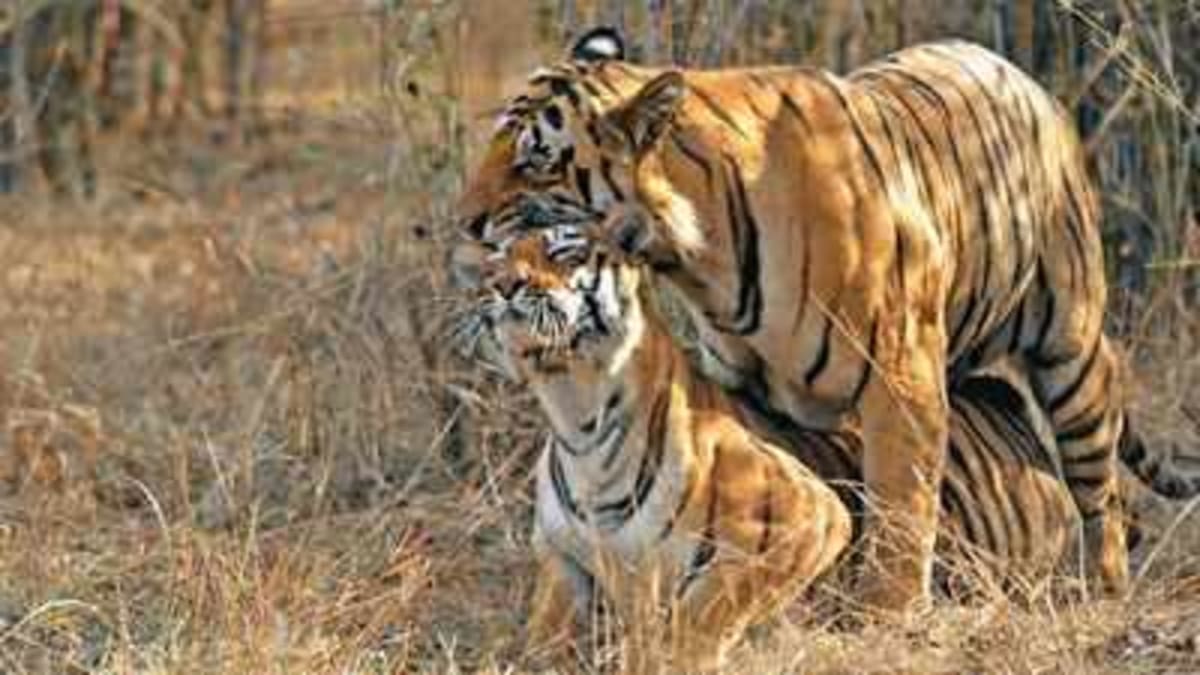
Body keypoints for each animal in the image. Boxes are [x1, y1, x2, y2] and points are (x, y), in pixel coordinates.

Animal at [448, 27, 1200, 612]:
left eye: (535, 162)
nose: (466, 222)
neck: (695, 253)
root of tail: (1022, 77)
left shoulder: (900, 374)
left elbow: (902, 504)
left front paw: (888, 613)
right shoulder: (741, 378)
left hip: (1070, 349)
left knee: (1098, 490)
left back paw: (1103, 586)